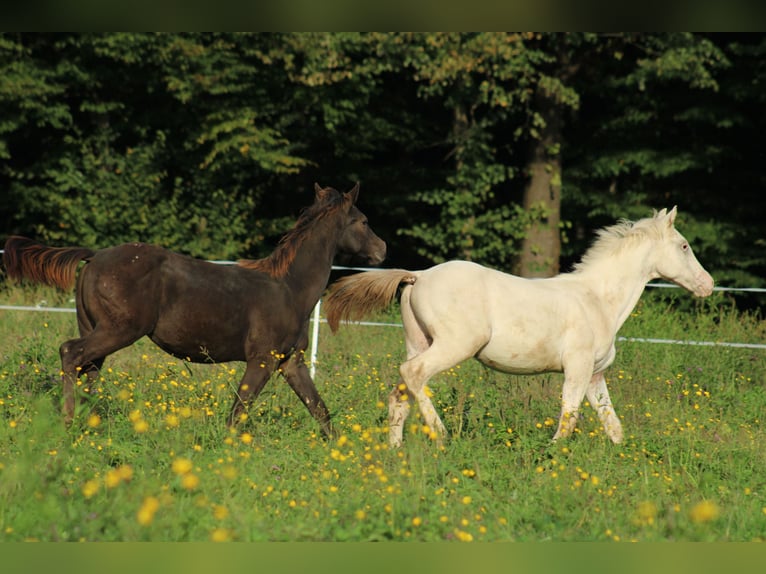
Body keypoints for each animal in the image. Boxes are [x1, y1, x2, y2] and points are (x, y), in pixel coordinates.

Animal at [3, 184, 388, 436]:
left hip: (97, 329)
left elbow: (320, 411)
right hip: (119, 330)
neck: (290, 288)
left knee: (89, 370)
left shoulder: (290, 362)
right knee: (70, 353)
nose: (382, 249)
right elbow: (238, 413)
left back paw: (88, 423)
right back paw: (69, 421)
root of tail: (95, 256)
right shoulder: (261, 360)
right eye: (364, 221)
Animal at [328, 208, 716, 450]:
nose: (708, 284)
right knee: (414, 375)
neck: (598, 300)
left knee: (400, 393)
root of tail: (418, 275)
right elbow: (569, 418)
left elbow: (612, 424)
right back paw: (441, 436)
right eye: (684, 246)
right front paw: (551, 456)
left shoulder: (595, 374)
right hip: (454, 345)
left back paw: (395, 452)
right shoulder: (577, 369)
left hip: (419, 341)